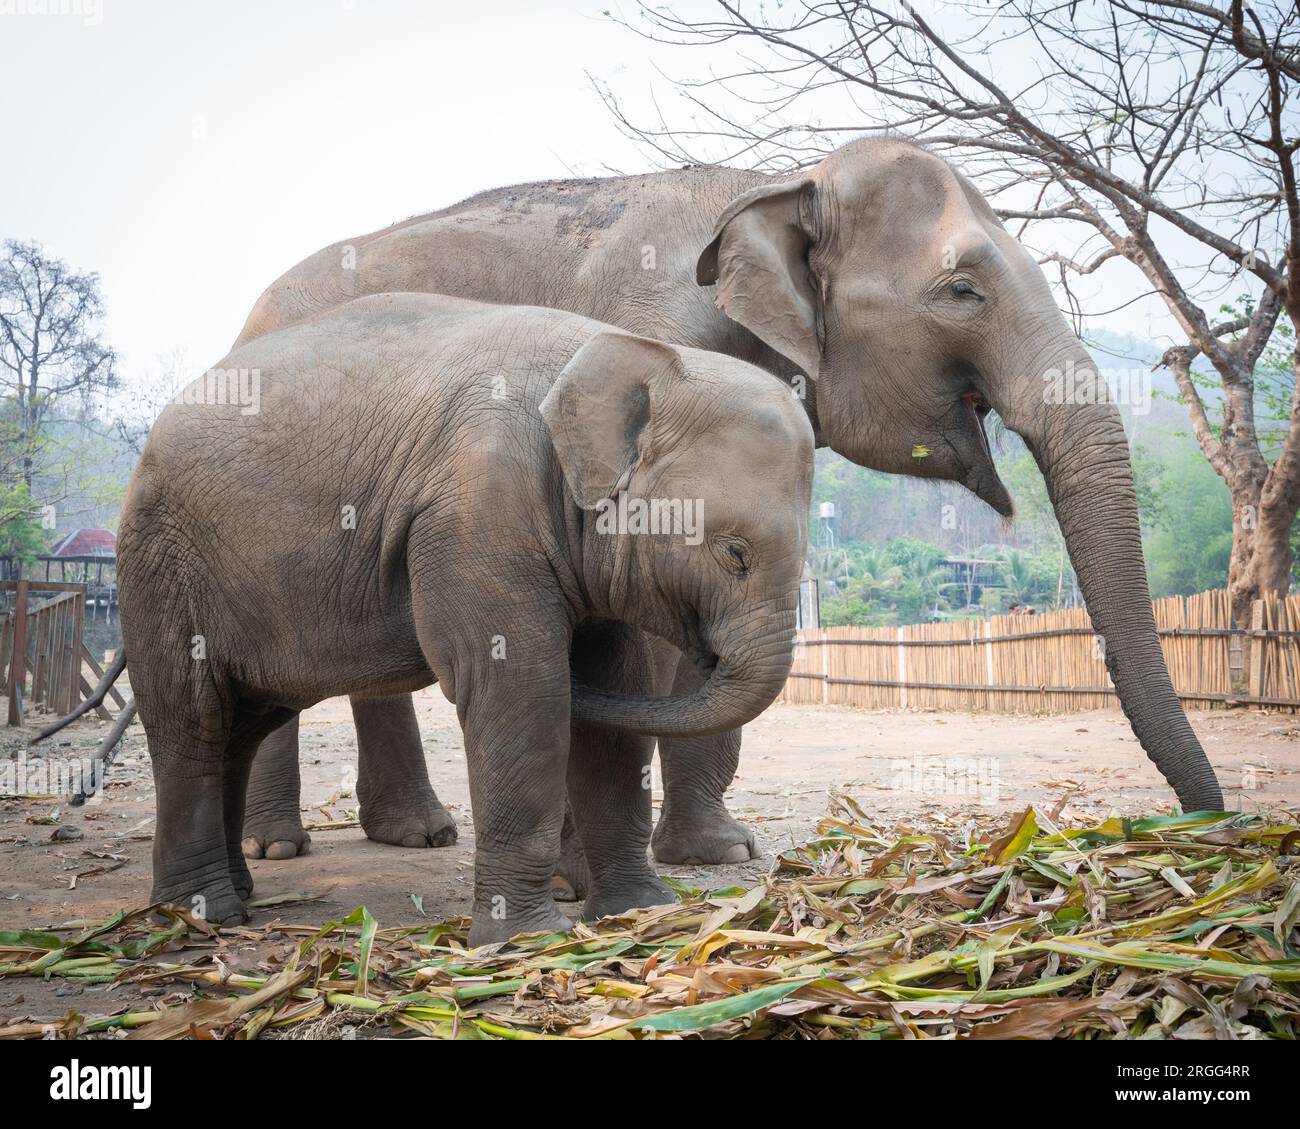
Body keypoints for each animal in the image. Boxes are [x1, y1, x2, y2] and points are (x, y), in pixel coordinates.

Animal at [122, 292, 811, 941]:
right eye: (734, 552)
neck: (617, 356)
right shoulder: (477, 514)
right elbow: (517, 685)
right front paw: (526, 939)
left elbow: (617, 689)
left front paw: (637, 913)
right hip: (164, 564)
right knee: (193, 717)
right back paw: (199, 915)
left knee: (241, 724)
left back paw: (231, 897)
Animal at [236, 134, 1227, 874]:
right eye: (961, 290)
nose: (1198, 826)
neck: (777, 183)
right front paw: (594, 868)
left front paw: (715, 853)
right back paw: (277, 846)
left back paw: (417, 833)